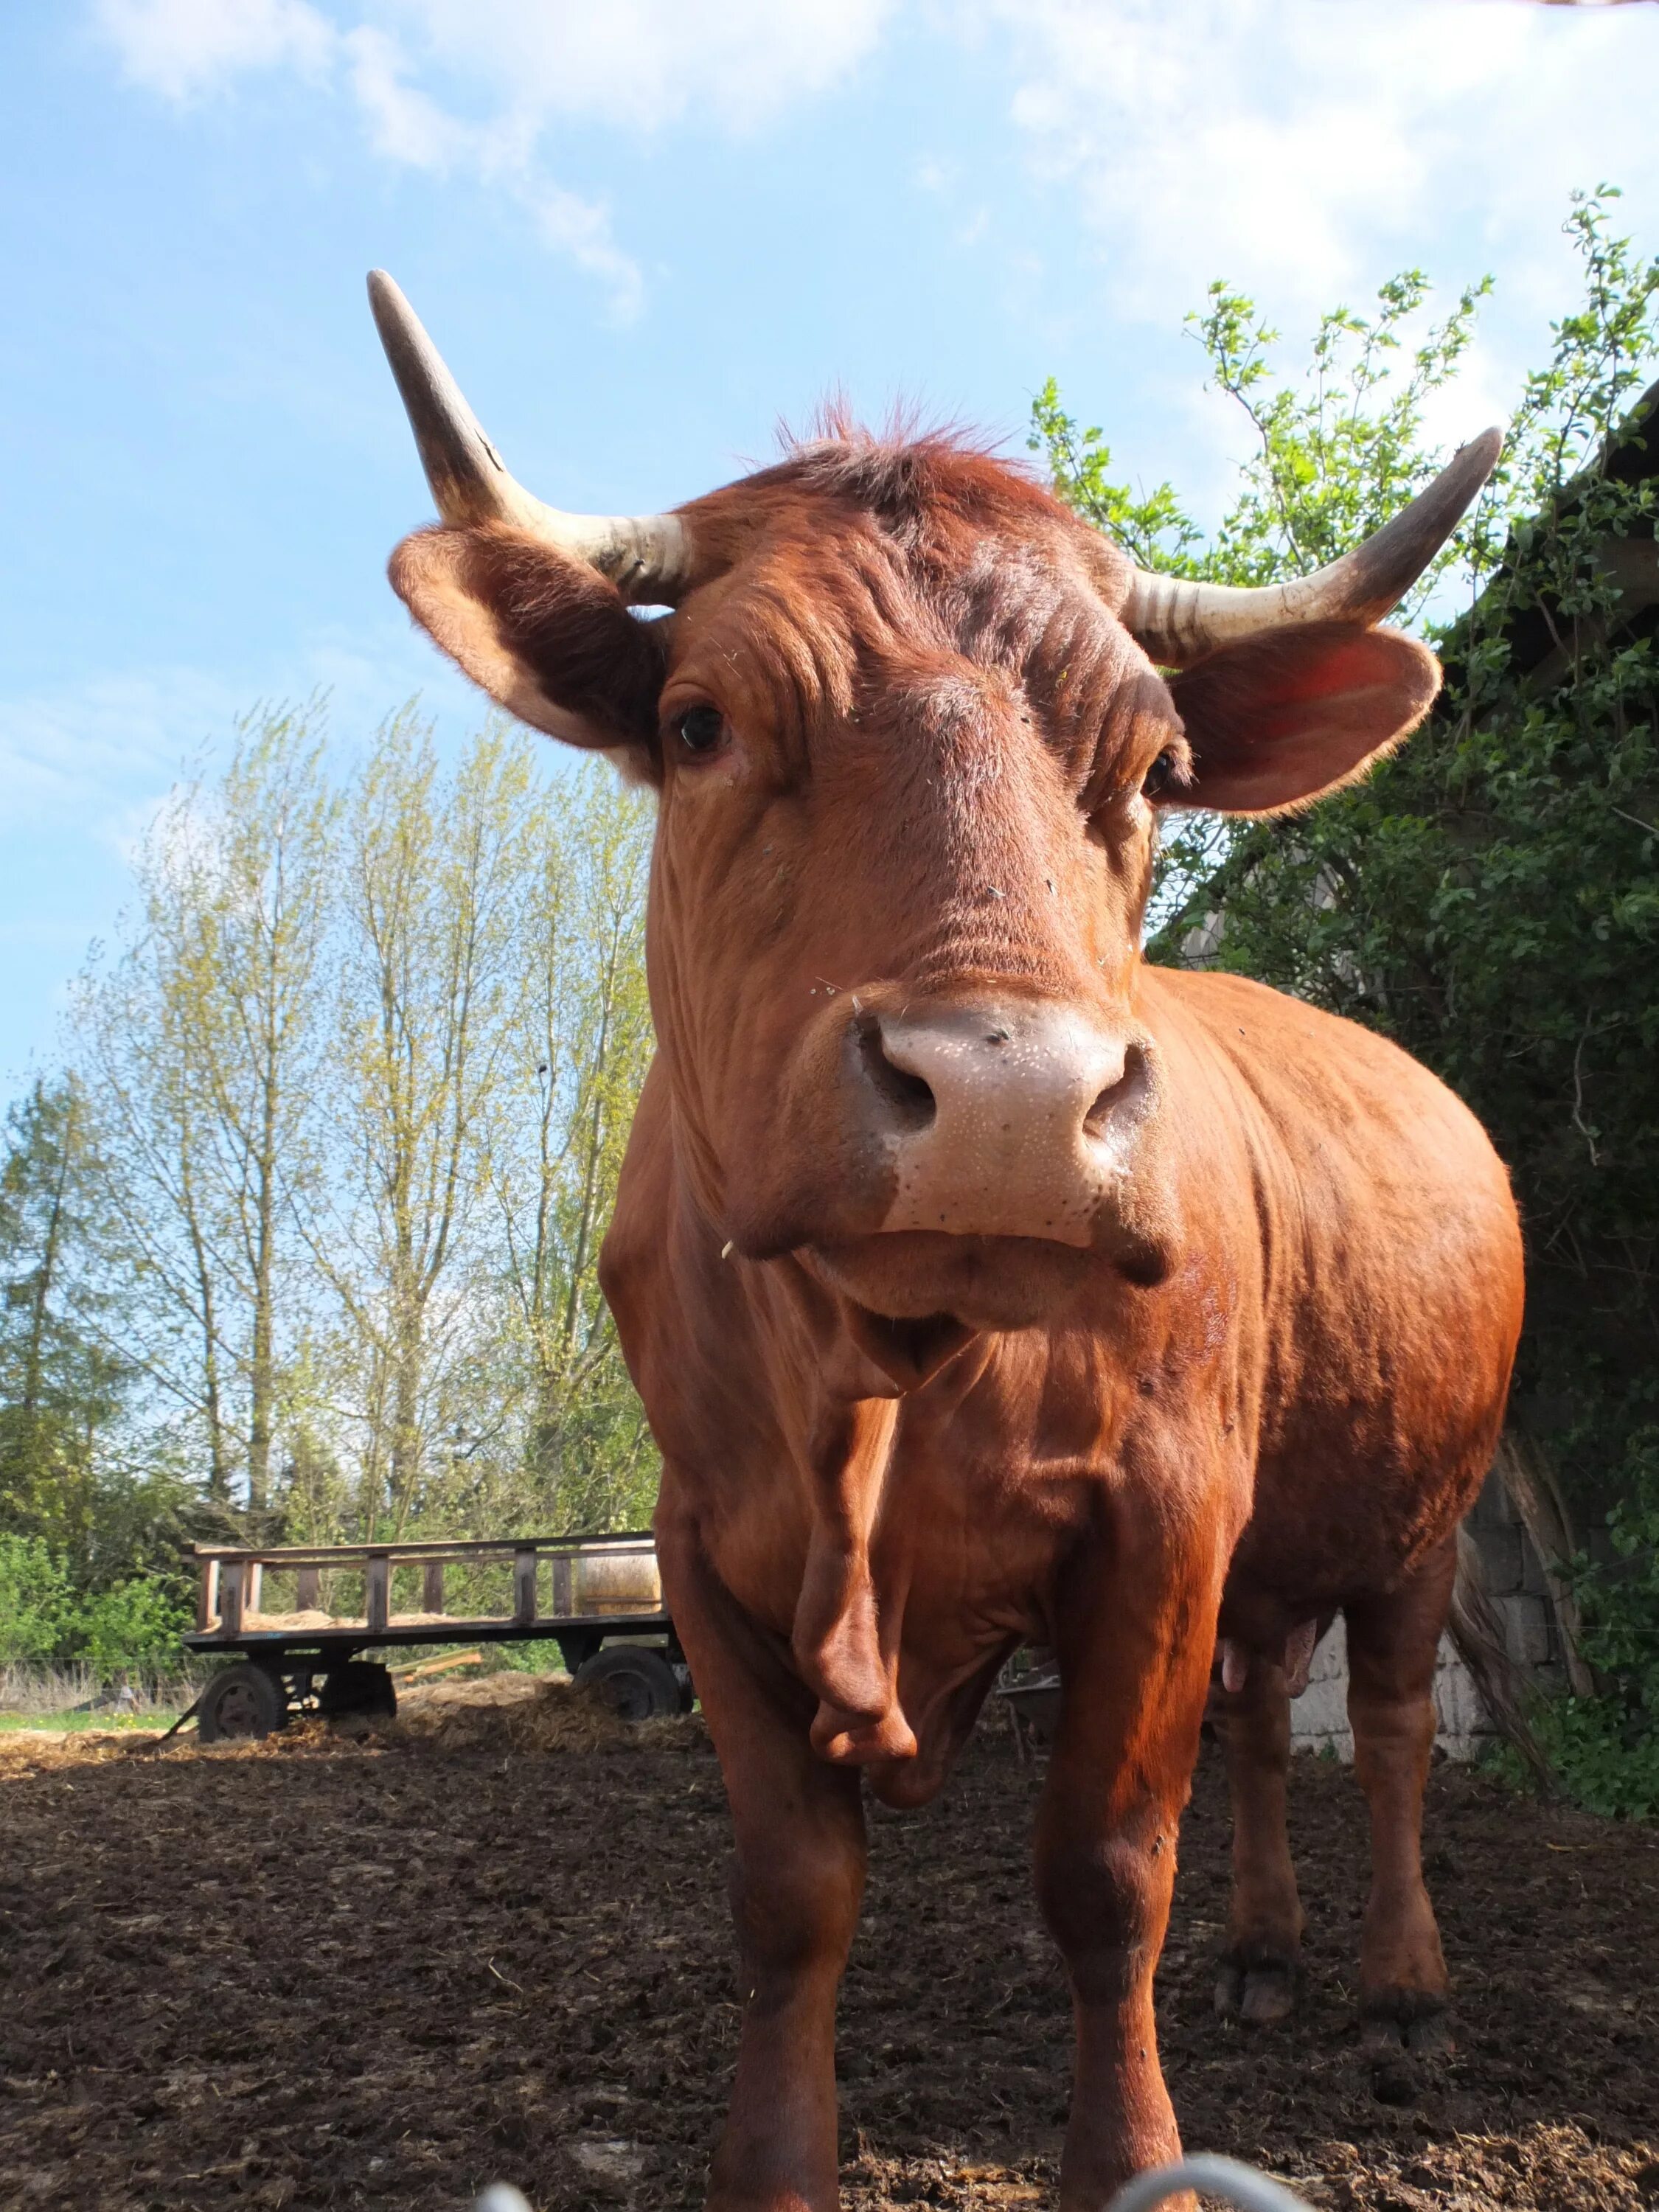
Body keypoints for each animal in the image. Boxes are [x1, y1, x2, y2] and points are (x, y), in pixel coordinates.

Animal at [369, 276, 1531, 2212]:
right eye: (696, 721)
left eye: (1158, 765)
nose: (1007, 1095)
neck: (879, 1383)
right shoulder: (704, 1548)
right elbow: (791, 1896)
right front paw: (772, 2165)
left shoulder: (1158, 1517)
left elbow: (1106, 1872)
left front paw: (1132, 2157)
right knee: (1263, 1716)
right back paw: (1266, 1955)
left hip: (1419, 1511)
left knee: (1381, 1729)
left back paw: (1399, 1986)